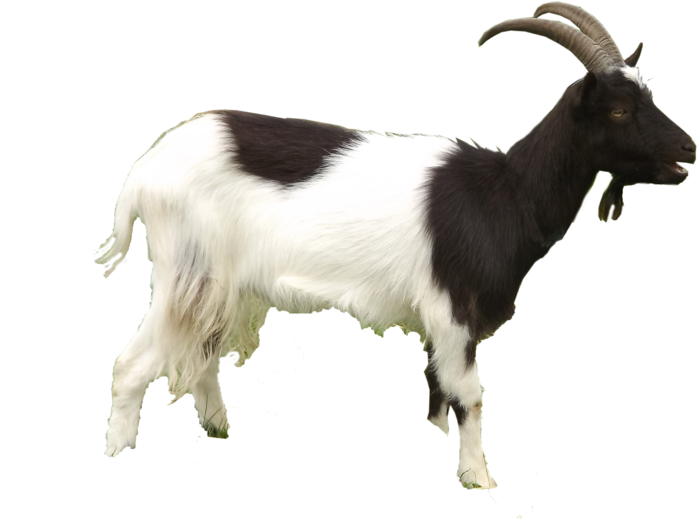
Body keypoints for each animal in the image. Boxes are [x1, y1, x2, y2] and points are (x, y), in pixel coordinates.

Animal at [94, 2, 694, 490]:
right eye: (617, 110)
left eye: (648, 97)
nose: (688, 148)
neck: (504, 195)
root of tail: (145, 169)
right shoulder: (453, 307)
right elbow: (470, 395)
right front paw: (478, 478)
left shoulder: (438, 320)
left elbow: (436, 387)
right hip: (189, 270)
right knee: (133, 364)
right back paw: (120, 452)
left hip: (224, 285)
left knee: (201, 358)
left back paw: (220, 430)